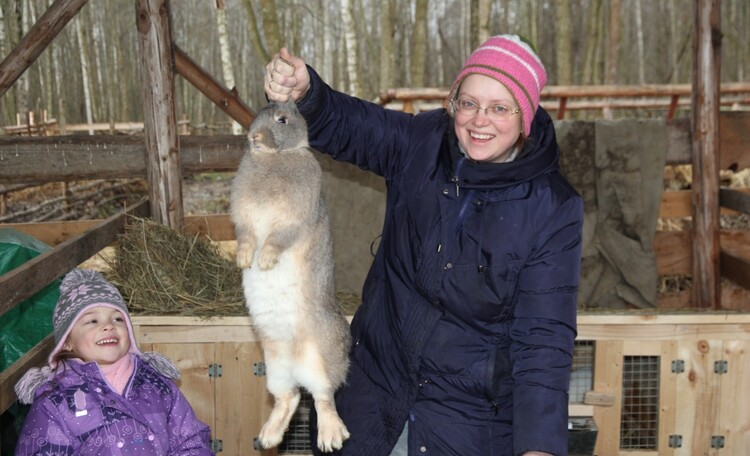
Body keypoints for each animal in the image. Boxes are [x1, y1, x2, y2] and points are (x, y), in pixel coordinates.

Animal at [229, 100, 352, 452]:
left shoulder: (291, 220)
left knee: (323, 397)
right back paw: (268, 437)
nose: (253, 137)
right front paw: (244, 259)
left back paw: (330, 439)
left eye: (282, 120)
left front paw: (265, 261)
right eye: (258, 114)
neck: (275, 157)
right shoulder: (244, 220)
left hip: (321, 359)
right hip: (275, 366)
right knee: (292, 397)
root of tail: (297, 365)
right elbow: (246, 236)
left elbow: (277, 238)